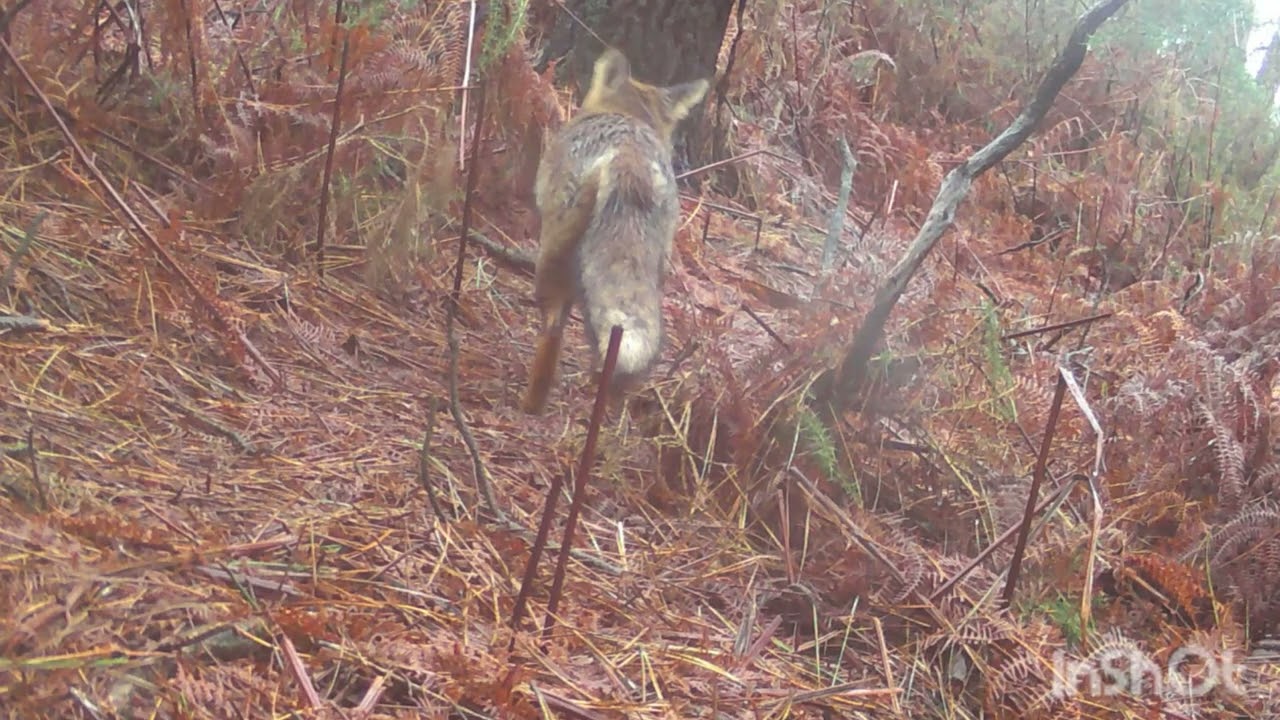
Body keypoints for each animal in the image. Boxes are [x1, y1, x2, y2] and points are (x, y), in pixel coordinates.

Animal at [521, 47, 709, 414]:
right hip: (657, 266)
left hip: (552, 254)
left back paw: (533, 402)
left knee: (553, 329)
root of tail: (628, 156)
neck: (627, 113)